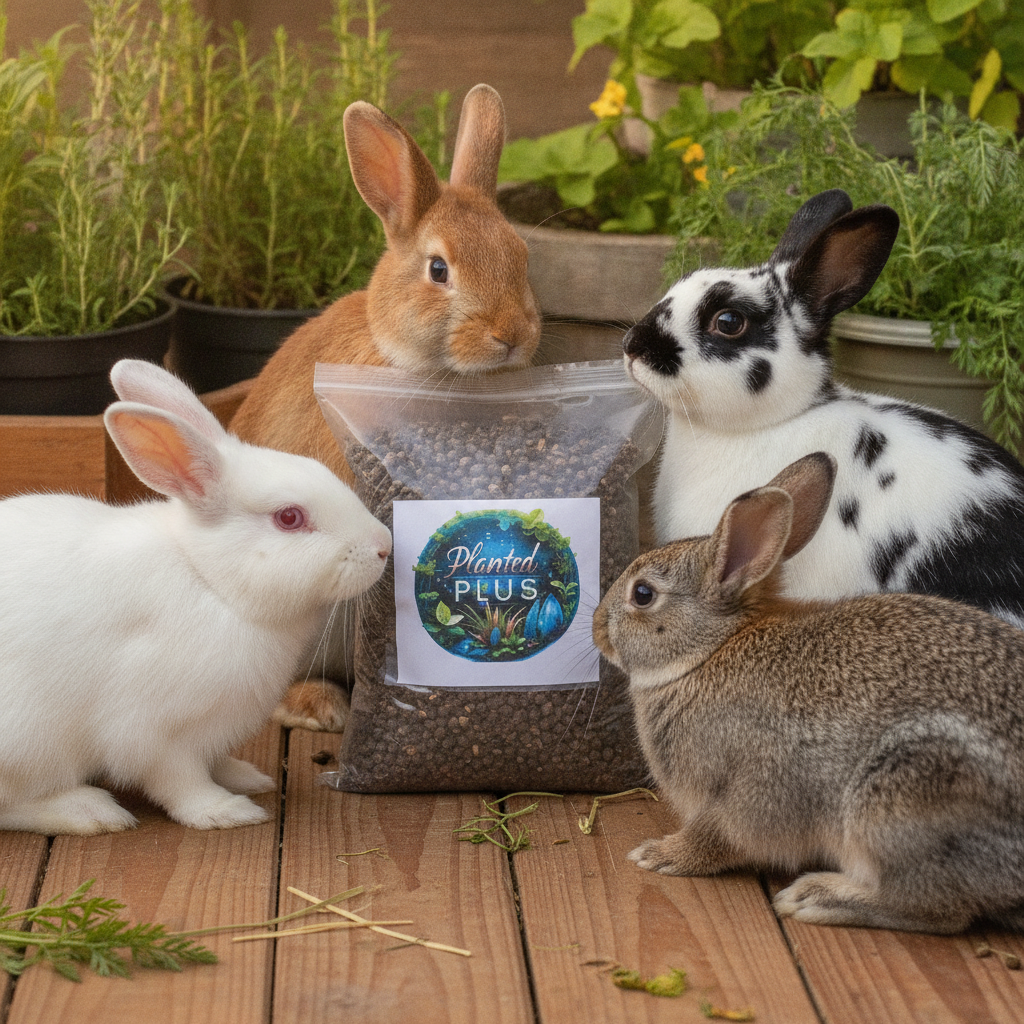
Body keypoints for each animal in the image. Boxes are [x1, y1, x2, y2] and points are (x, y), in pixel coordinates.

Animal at [0, 359, 392, 836]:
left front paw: (245, 776)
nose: (384, 545)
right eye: (289, 517)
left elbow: (213, 762)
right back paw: (88, 811)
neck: (211, 582)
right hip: (27, 740)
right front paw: (226, 810)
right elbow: (179, 781)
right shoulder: (151, 732)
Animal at [593, 451, 1024, 934]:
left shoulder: (739, 792)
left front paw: (659, 855)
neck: (710, 650)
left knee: (937, 909)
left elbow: (713, 837)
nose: (596, 629)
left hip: (904, 799)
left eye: (642, 594)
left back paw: (815, 898)